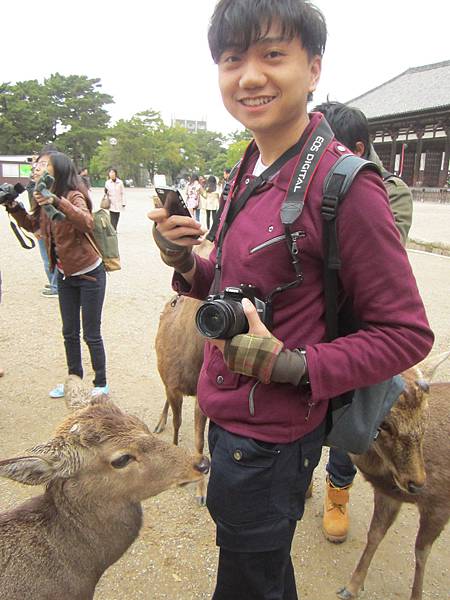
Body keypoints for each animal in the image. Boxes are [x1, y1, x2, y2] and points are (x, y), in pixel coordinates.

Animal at [338, 352, 450, 600]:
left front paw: (417, 596)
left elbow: (421, 553)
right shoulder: (388, 495)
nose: (417, 483)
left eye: (426, 417)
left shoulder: (441, 503)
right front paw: (351, 587)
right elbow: (375, 534)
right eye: (386, 424)